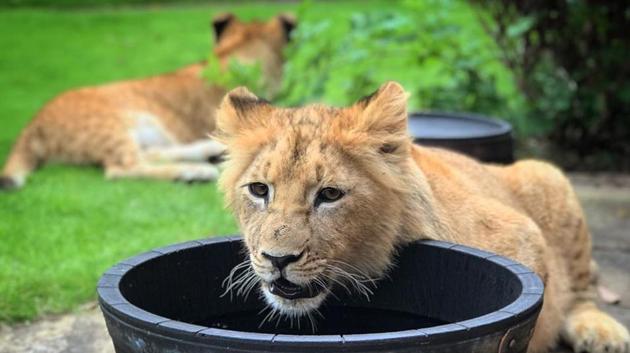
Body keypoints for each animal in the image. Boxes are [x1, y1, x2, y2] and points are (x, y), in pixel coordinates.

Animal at [0, 13, 298, 190]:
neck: (232, 54)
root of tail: (31, 124)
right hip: (111, 126)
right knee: (121, 168)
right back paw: (193, 172)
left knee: (149, 154)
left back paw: (208, 153)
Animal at [217, 81, 630, 350]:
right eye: (259, 190)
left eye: (329, 195)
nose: (277, 259)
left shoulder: (521, 233)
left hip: (546, 176)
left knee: (581, 291)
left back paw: (603, 334)